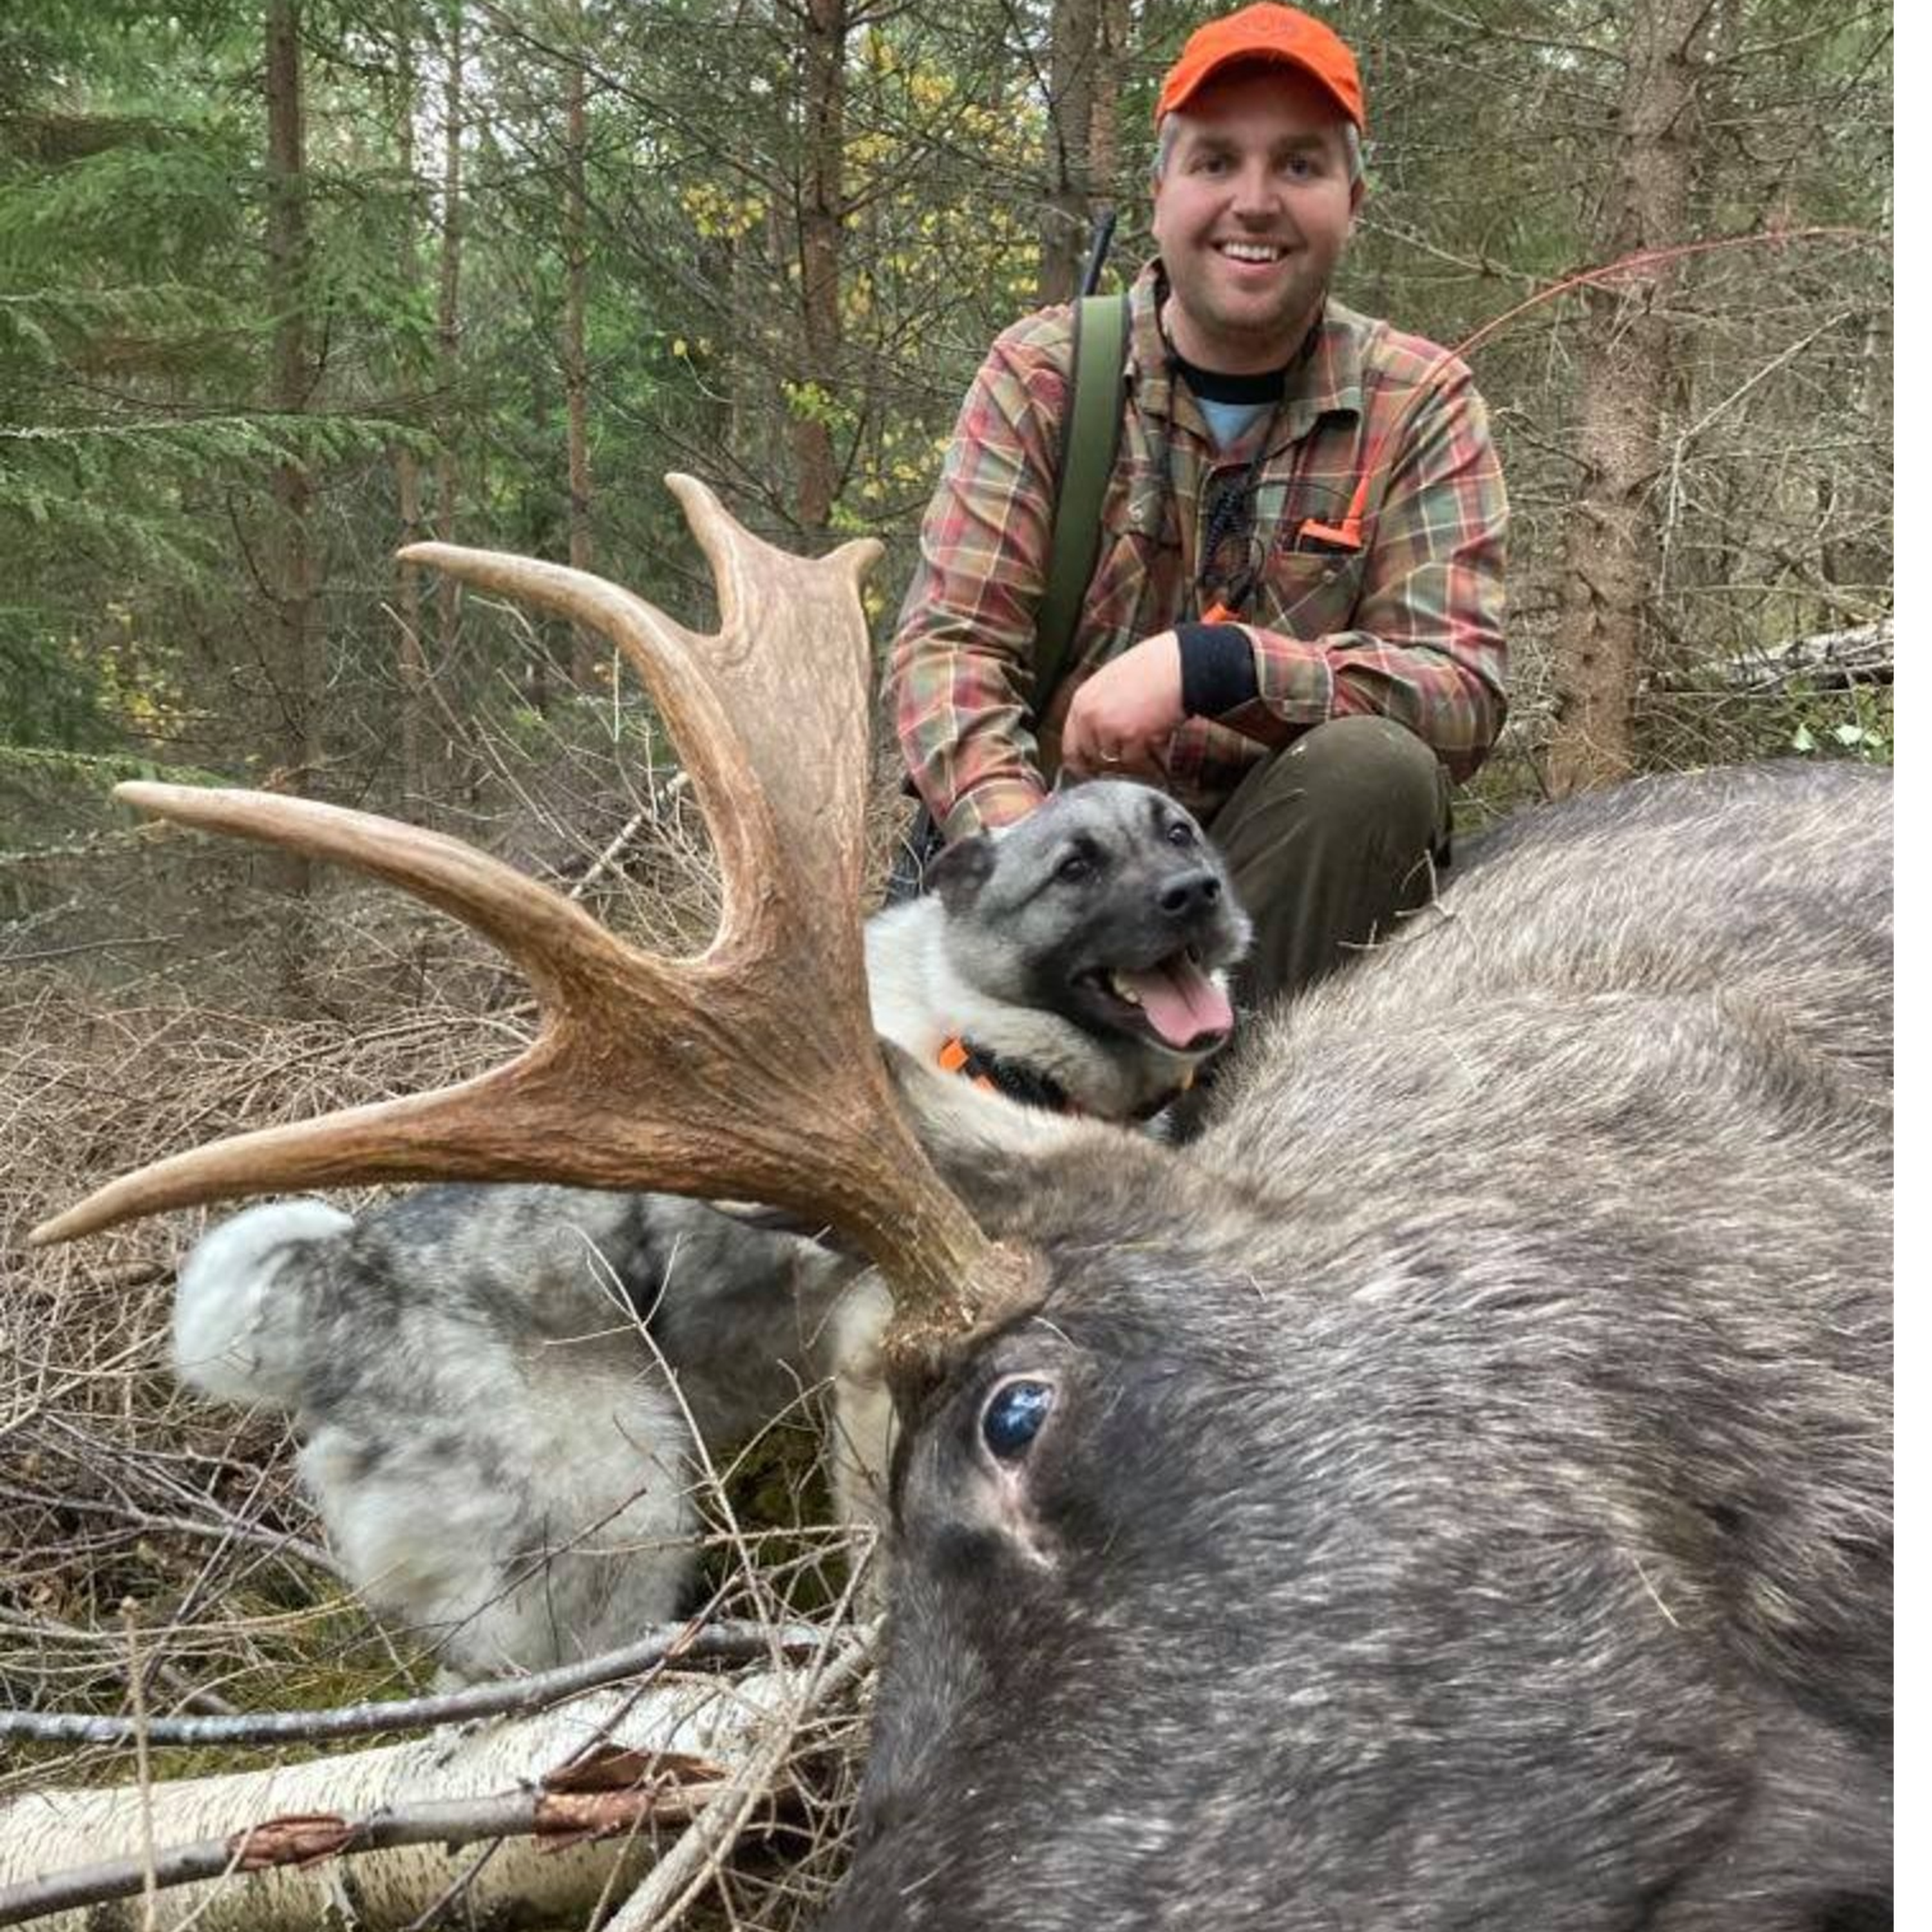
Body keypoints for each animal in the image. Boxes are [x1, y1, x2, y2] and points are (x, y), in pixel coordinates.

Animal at [174, 777, 1244, 1685]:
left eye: (1177, 832)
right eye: (1076, 868)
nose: (1199, 894)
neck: (981, 1032)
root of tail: (326, 1284)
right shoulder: (882, 1366)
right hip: (626, 1519)